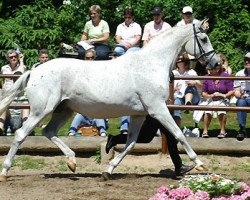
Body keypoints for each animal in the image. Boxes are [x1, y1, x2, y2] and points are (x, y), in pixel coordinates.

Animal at [0, 20, 219, 181]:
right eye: (204, 38)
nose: (216, 63)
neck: (151, 64)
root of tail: (35, 70)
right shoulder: (157, 109)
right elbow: (178, 134)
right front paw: (199, 164)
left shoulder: (140, 114)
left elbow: (131, 142)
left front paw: (108, 171)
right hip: (41, 110)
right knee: (21, 134)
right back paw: (5, 172)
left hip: (64, 110)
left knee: (48, 131)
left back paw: (72, 162)